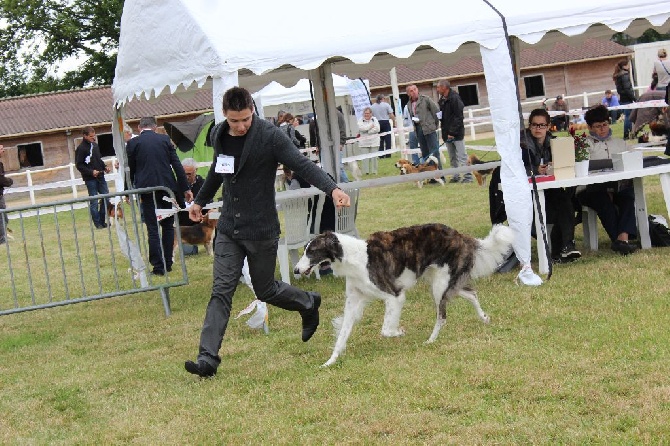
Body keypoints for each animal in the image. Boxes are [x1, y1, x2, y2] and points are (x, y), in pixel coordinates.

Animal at [294, 223, 516, 366]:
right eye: (304, 250)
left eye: (311, 252)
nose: (296, 270)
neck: (356, 257)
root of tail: (461, 236)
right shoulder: (353, 302)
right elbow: (341, 336)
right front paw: (329, 362)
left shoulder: (394, 295)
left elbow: (386, 330)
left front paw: (400, 332)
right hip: (443, 282)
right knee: (471, 293)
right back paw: (484, 317)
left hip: (439, 286)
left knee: (442, 316)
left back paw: (431, 340)